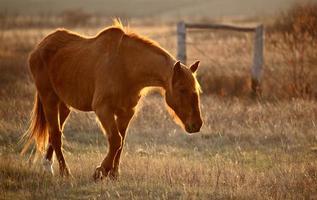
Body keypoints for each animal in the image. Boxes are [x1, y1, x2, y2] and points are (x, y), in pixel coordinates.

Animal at [21, 20, 201, 180]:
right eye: (182, 90)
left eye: (197, 90)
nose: (197, 124)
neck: (125, 67)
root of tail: (39, 48)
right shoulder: (103, 109)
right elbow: (115, 140)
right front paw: (100, 171)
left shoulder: (126, 113)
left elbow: (121, 142)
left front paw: (113, 174)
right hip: (49, 99)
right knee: (55, 134)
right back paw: (65, 173)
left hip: (64, 105)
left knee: (55, 133)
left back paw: (47, 166)